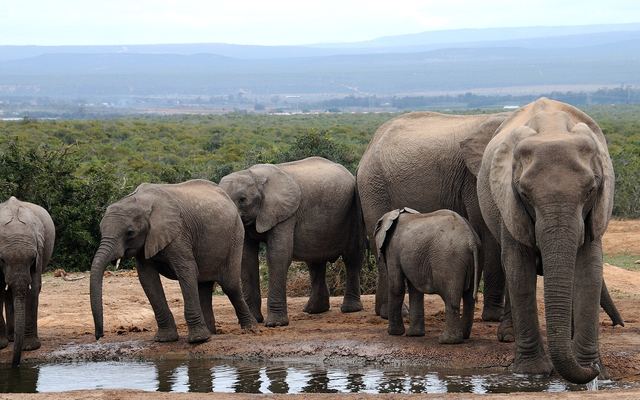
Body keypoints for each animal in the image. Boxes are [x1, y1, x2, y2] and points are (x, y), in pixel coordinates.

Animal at [0, 196, 55, 366]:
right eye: (2, 260)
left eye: (31, 259)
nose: (15, 365)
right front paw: (1, 345)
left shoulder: (39, 252)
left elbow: (33, 288)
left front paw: (29, 347)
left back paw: (13, 338)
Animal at [90, 179, 256, 344]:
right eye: (100, 230)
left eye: (130, 232)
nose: (99, 336)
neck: (141, 202)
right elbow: (147, 278)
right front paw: (165, 339)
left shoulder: (178, 233)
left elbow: (187, 270)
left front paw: (198, 340)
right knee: (203, 286)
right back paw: (211, 333)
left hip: (236, 236)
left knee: (230, 286)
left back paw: (250, 328)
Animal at [219, 156, 364, 327]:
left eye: (242, 200)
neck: (255, 176)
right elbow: (247, 259)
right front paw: (256, 320)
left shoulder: (286, 214)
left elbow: (278, 256)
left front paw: (275, 324)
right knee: (315, 262)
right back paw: (314, 310)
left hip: (354, 209)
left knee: (352, 257)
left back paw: (350, 309)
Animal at [375, 208, 480, 344]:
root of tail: (471, 240)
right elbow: (415, 290)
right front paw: (414, 335)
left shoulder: (393, 249)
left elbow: (396, 287)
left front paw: (393, 333)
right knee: (469, 298)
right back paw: (464, 336)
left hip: (449, 260)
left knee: (450, 297)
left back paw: (446, 341)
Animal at [462, 98, 614, 383]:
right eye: (524, 193)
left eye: (591, 190)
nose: (593, 371)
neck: (553, 128)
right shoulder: (509, 203)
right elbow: (520, 272)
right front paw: (532, 372)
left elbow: (589, 270)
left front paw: (593, 369)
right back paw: (509, 336)